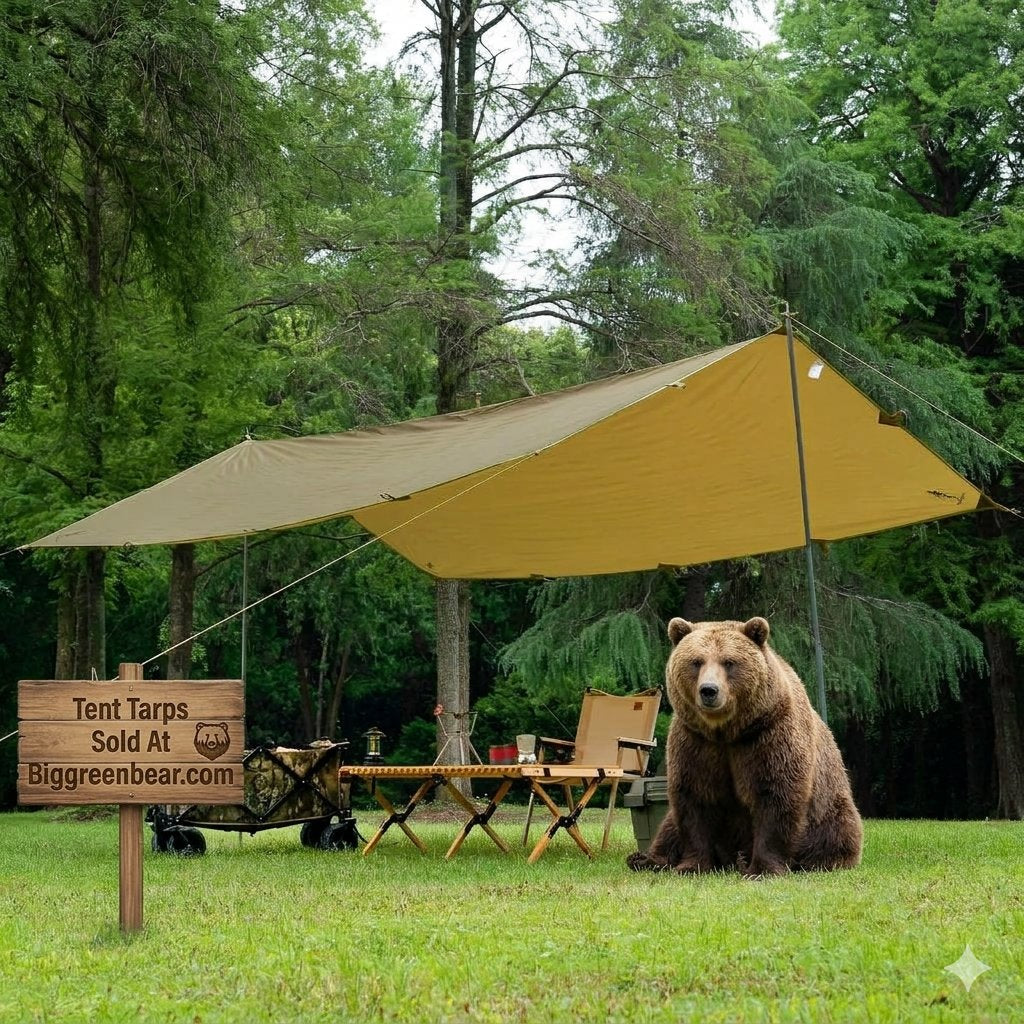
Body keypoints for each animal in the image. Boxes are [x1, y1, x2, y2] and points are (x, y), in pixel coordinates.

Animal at [627, 616, 862, 877]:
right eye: (696, 661)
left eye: (729, 662)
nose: (709, 690)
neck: (727, 731)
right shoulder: (696, 742)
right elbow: (695, 801)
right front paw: (691, 865)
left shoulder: (768, 735)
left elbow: (775, 795)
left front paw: (762, 869)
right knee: (668, 827)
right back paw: (644, 859)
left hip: (829, 810)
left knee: (834, 833)